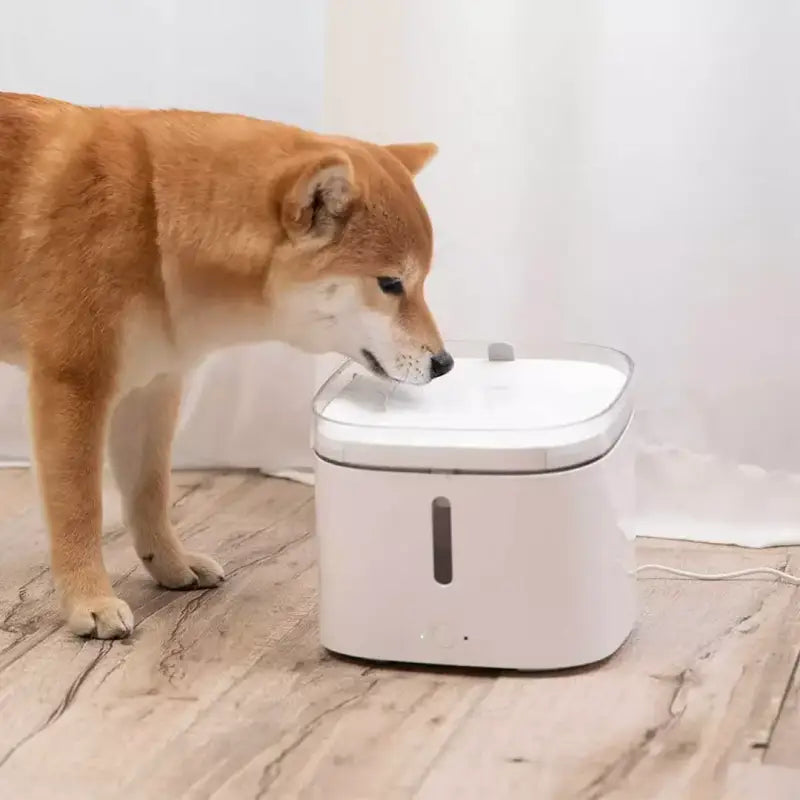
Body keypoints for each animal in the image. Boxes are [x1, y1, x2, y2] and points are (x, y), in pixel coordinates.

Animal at [0, 92, 450, 636]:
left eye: (422, 282)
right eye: (390, 284)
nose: (445, 362)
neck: (153, 216)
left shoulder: (153, 387)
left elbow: (150, 492)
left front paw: (170, 563)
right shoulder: (73, 382)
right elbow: (78, 507)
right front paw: (89, 599)